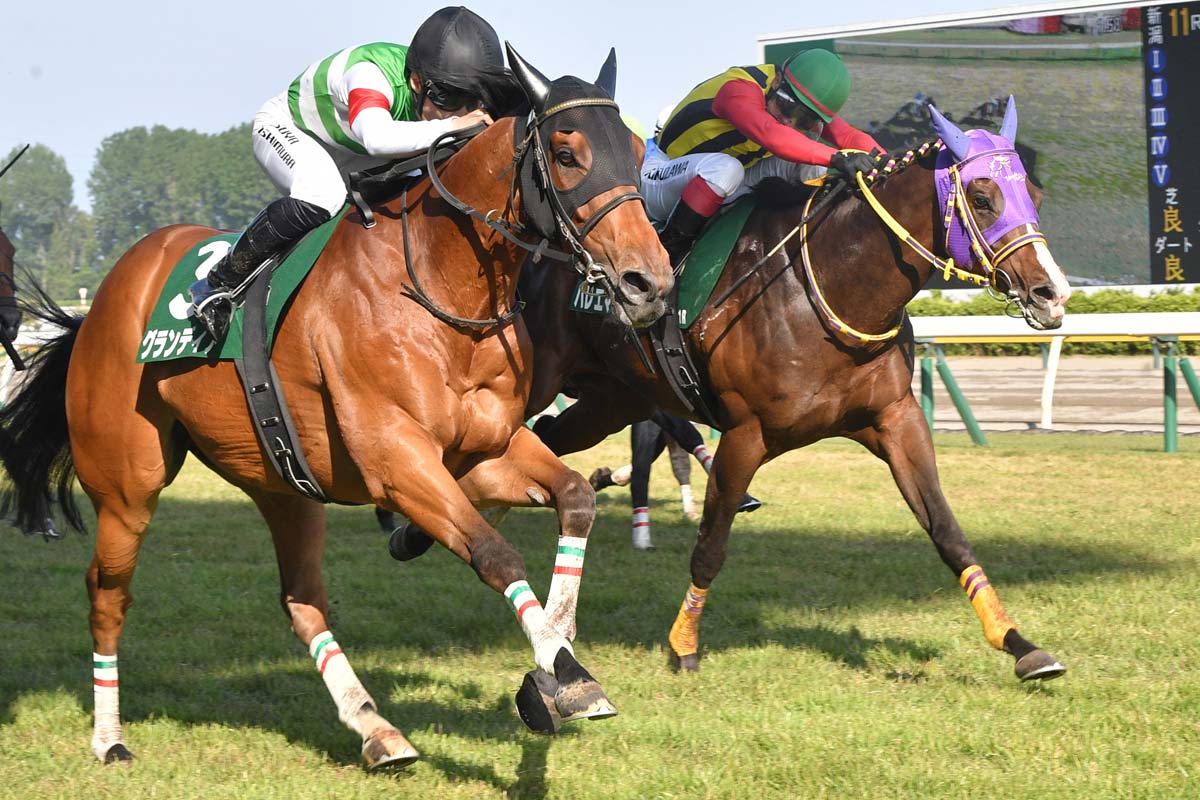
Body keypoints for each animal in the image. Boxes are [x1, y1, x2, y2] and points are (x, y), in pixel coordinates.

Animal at [0, 46, 674, 767]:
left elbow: (576, 496)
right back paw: (110, 738)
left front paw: (560, 665)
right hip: (128, 484)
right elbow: (494, 554)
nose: (650, 281)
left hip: (282, 481)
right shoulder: (398, 462)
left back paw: (375, 728)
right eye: (568, 153)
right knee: (107, 593)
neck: (436, 288)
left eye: (637, 152)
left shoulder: (482, 451)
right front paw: (561, 666)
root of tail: (102, 298)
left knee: (302, 602)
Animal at [397, 97, 1072, 682]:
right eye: (982, 196)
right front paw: (683, 644)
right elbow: (711, 547)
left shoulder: (895, 418)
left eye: (1034, 193)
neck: (827, 283)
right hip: (539, 382)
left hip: (616, 397)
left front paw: (1020, 644)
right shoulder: (747, 434)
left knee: (551, 439)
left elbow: (946, 529)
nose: (1052, 293)